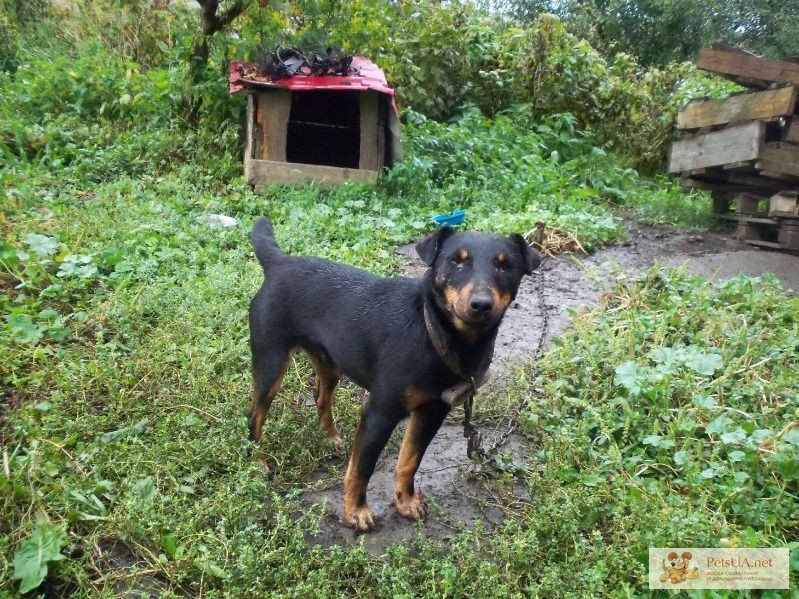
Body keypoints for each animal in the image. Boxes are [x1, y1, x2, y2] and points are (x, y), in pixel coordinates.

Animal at [247, 218, 540, 532]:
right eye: (456, 261)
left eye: (505, 265)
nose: (481, 304)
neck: (433, 330)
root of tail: (279, 261)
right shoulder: (380, 413)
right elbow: (362, 468)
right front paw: (356, 512)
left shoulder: (432, 411)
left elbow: (410, 461)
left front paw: (405, 502)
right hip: (271, 364)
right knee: (254, 416)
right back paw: (257, 462)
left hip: (329, 361)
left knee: (320, 396)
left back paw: (331, 438)